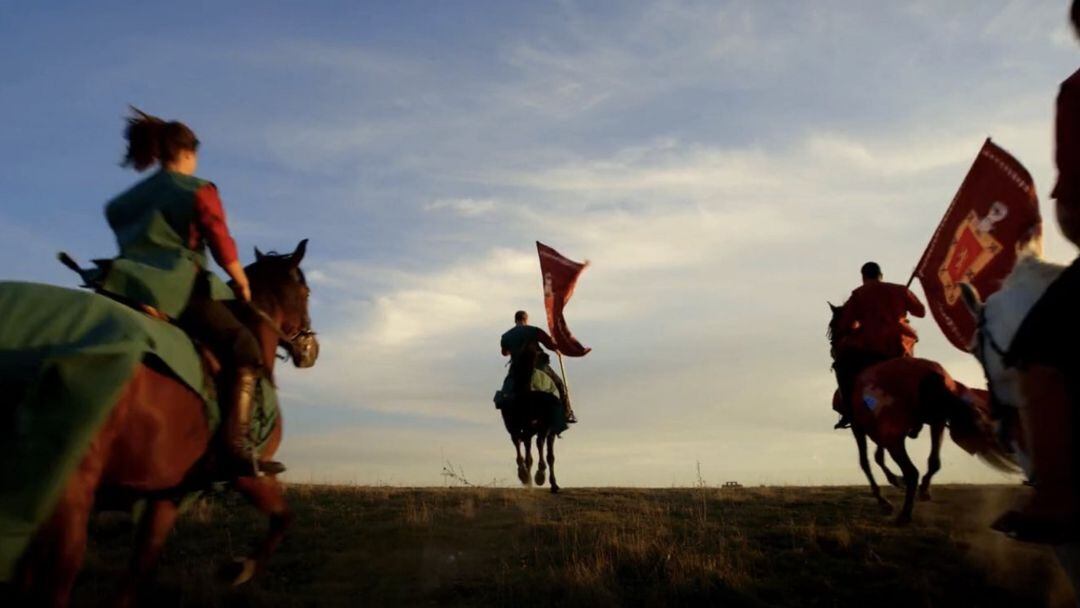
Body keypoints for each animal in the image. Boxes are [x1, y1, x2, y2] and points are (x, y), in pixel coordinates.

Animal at [14, 241, 317, 608]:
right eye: (306, 292)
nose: (311, 350)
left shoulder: (167, 493)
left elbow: (138, 570)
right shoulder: (246, 474)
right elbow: (284, 517)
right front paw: (239, 570)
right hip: (68, 499)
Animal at [498, 343, 565, 494]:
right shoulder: (547, 428)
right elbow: (549, 455)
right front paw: (547, 480)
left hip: (517, 423)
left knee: (520, 442)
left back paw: (526, 475)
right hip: (531, 425)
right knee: (530, 443)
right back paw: (532, 474)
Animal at [825, 302, 1010, 522]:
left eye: (832, 327)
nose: (833, 349)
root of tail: (932, 374)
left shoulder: (860, 427)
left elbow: (866, 462)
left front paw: (885, 500)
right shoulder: (879, 430)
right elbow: (878, 457)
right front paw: (895, 481)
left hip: (895, 436)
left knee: (912, 471)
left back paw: (904, 514)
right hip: (935, 423)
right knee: (933, 462)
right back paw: (922, 492)